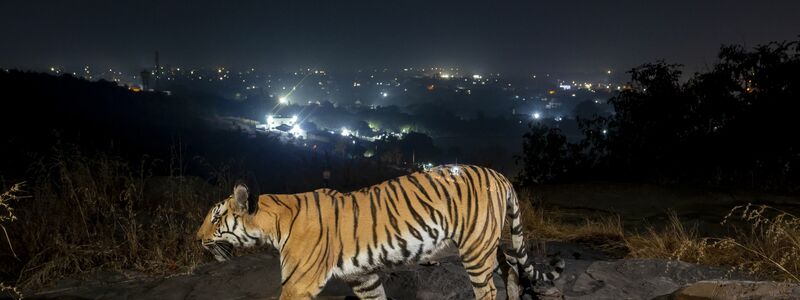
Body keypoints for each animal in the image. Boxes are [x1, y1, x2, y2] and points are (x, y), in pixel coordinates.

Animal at [197, 165, 564, 298]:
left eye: (216, 217)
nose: (197, 238)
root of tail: (499, 174)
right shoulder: (364, 277)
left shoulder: (298, 284)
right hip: (492, 241)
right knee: (512, 266)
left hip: (475, 250)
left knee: (487, 289)